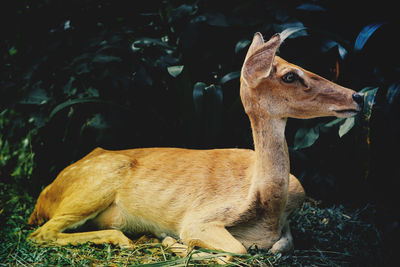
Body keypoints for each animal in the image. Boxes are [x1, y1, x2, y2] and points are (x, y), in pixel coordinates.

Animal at [26, 29, 364, 260]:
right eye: (290, 75)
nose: (358, 95)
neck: (268, 210)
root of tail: (43, 197)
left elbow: (281, 246)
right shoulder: (198, 218)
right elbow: (237, 250)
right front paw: (173, 242)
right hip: (94, 184)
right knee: (40, 233)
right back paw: (127, 239)